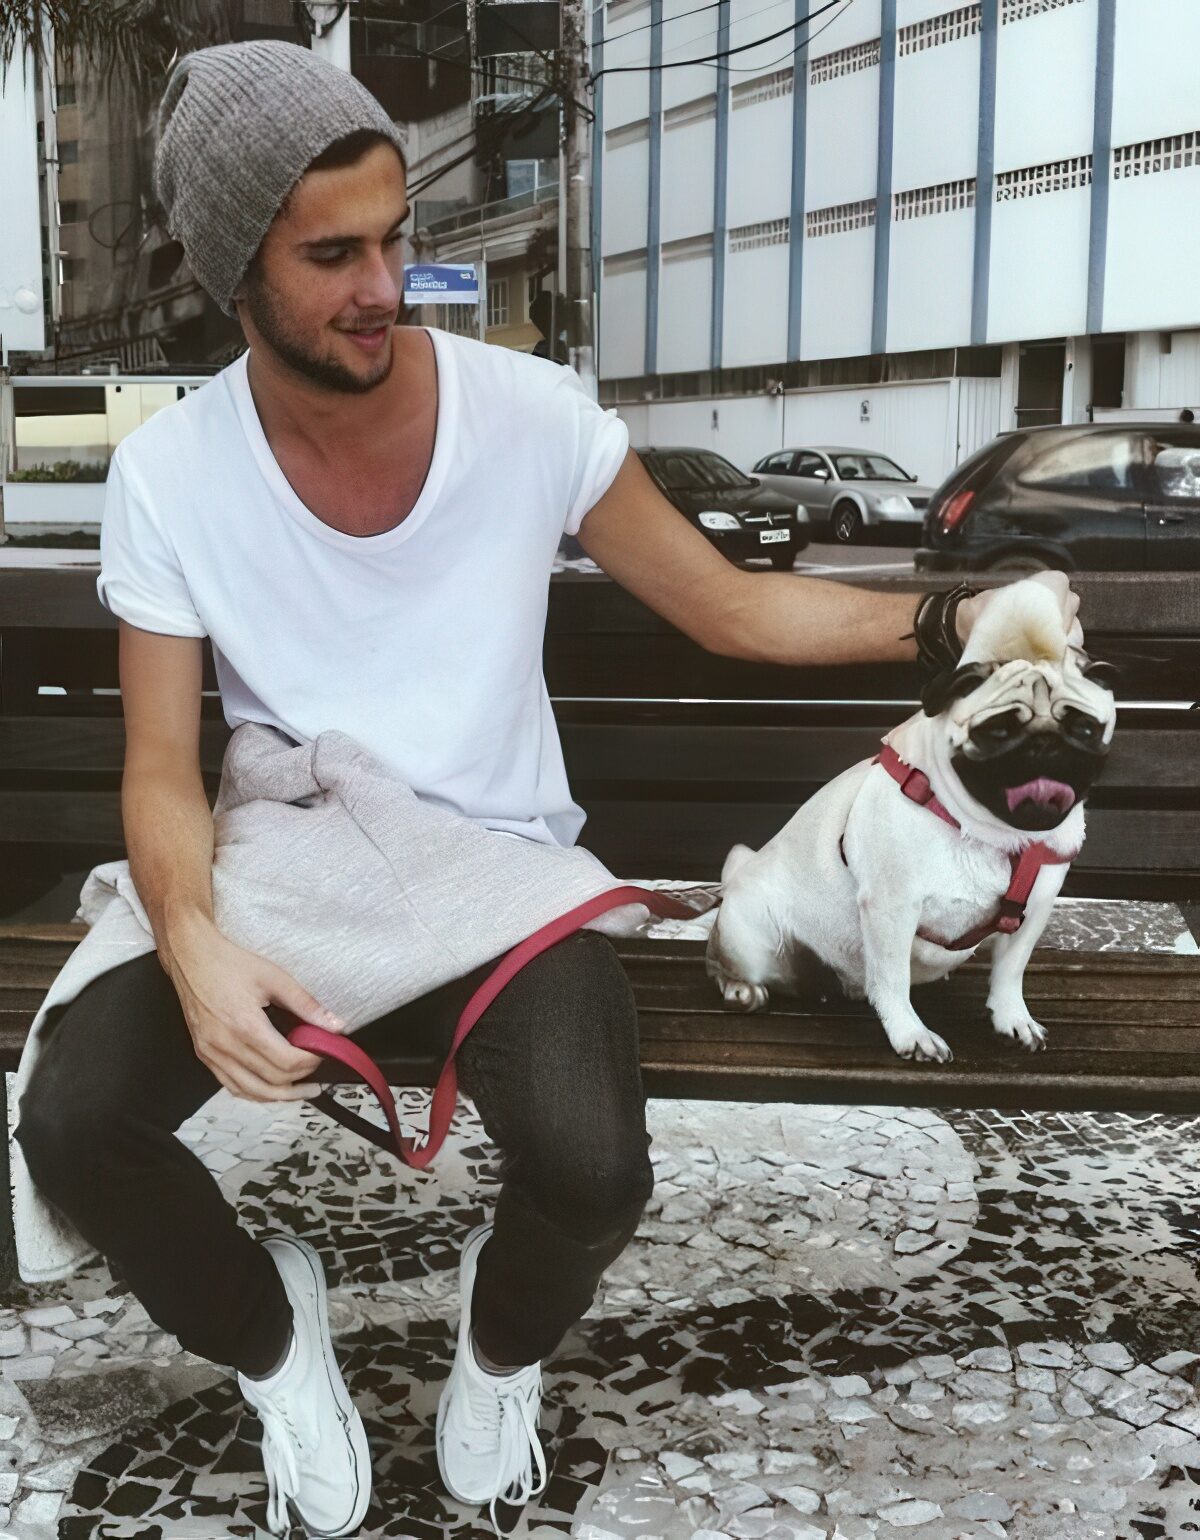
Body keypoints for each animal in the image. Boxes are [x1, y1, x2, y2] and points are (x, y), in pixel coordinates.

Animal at [714, 572, 1115, 1065]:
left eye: (1085, 729)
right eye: (997, 731)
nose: (1045, 746)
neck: (990, 834)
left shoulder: (1033, 912)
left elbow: (1010, 972)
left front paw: (1012, 1017)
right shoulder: (892, 909)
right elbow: (892, 980)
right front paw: (911, 1033)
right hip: (749, 938)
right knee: (723, 962)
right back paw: (740, 991)